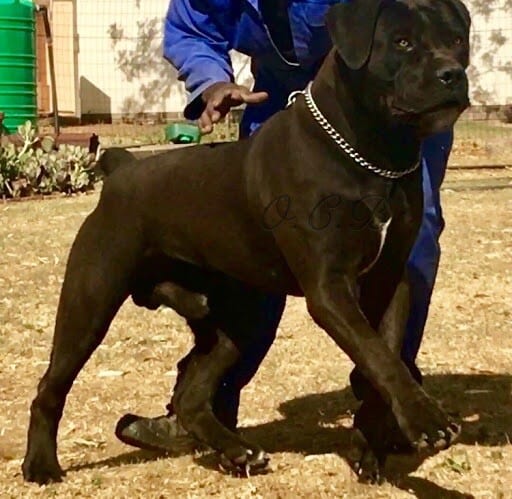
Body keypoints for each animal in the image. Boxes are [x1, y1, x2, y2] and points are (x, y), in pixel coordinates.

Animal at [22, 0, 470, 484]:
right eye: (402, 42)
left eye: (457, 40)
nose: (452, 74)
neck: (372, 155)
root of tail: (122, 169)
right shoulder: (330, 288)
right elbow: (377, 354)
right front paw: (426, 420)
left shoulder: (389, 279)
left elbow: (381, 358)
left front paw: (373, 446)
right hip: (90, 300)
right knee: (51, 385)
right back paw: (41, 464)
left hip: (236, 316)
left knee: (192, 394)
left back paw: (236, 452)